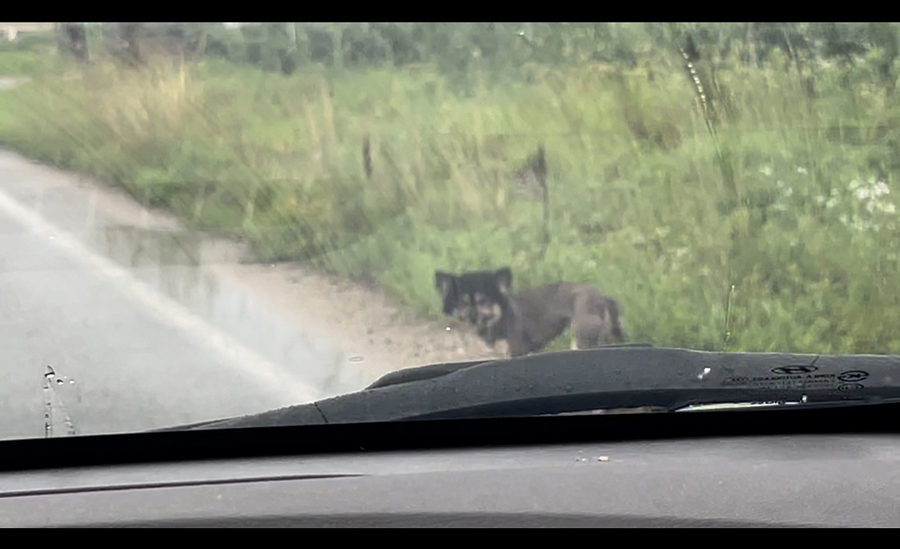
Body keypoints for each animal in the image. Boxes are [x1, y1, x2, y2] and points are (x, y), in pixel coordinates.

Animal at [436, 266, 624, 360]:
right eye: (464, 303)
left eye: (483, 302)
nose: (471, 317)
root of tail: (602, 295)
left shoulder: (514, 351)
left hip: (581, 335)